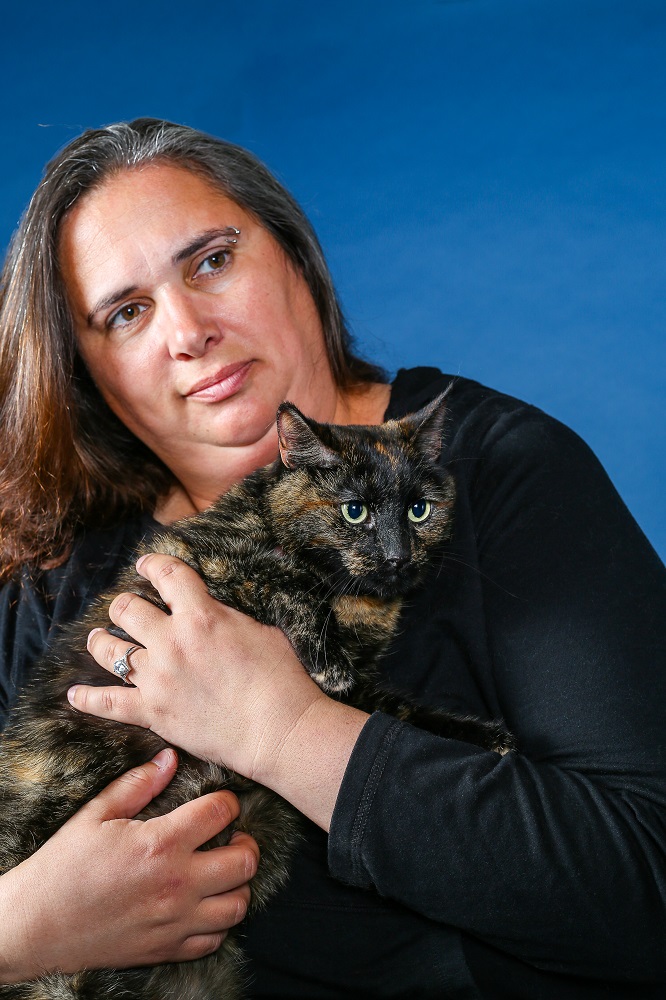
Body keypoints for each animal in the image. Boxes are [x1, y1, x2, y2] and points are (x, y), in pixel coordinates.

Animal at [0, 386, 508, 996]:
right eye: (354, 511)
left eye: (419, 510)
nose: (396, 557)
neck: (358, 601)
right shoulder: (198, 566)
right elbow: (279, 575)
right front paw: (323, 650)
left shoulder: (363, 695)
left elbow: (401, 713)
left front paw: (483, 736)